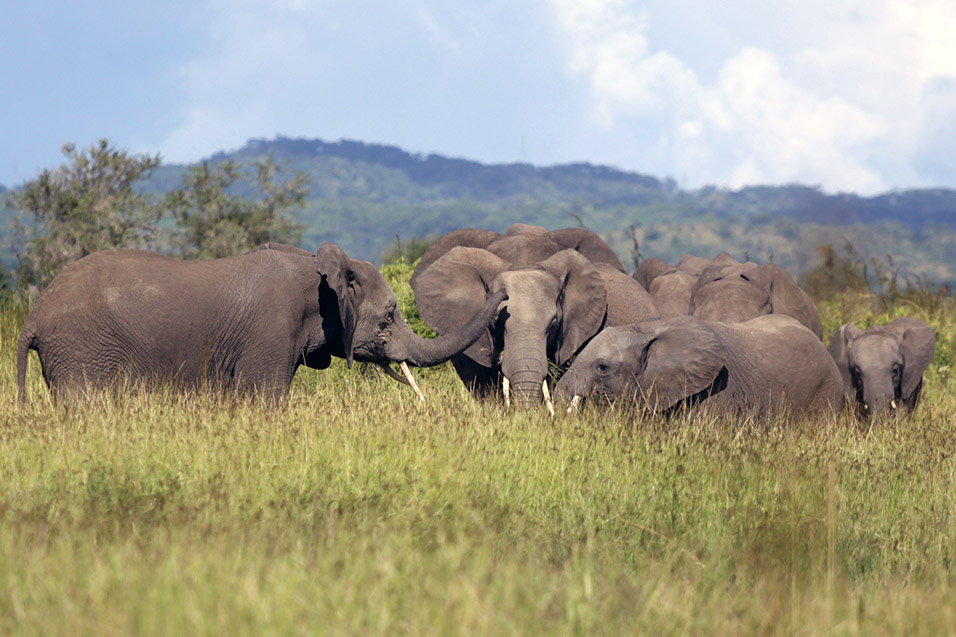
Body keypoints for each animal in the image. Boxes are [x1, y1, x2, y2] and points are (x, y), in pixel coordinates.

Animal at [16, 243, 508, 402]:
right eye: (389, 315)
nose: (503, 295)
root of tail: (34, 316)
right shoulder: (270, 332)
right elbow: (265, 398)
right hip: (83, 350)